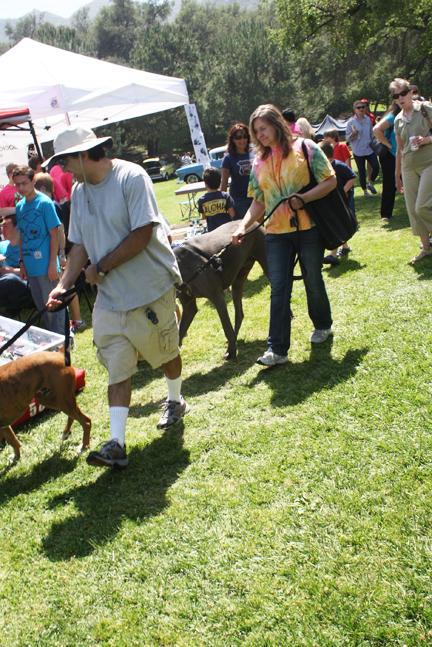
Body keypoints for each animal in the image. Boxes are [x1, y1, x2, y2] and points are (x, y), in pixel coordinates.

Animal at [174, 221, 268, 359]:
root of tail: (256, 222)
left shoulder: (218, 297)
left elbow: (226, 328)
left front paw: (231, 351)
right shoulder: (189, 306)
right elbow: (179, 333)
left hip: (266, 264)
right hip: (238, 280)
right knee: (239, 314)